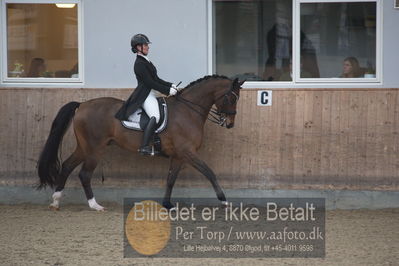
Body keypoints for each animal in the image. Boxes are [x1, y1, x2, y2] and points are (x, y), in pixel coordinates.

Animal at [38, 74, 244, 210]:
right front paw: (224, 200)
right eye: (231, 97)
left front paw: (167, 204)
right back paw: (95, 205)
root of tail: (81, 105)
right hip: (95, 149)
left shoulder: (179, 155)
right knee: (84, 174)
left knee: (66, 166)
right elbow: (209, 172)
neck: (188, 111)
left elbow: (171, 179)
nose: (230, 124)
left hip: (84, 147)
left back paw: (56, 200)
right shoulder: (188, 152)